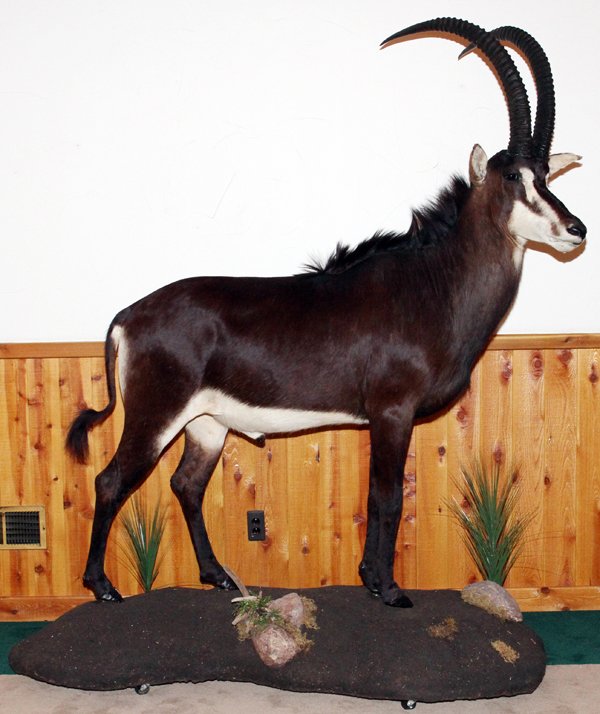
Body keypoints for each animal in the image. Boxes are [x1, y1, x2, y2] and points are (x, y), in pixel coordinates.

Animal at [67, 18, 585, 607]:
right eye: (512, 177)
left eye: (547, 175)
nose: (576, 230)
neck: (433, 282)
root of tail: (127, 317)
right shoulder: (392, 411)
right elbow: (388, 497)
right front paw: (388, 589)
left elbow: (378, 497)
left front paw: (371, 581)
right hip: (156, 415)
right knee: (111, 481)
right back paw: (103, 586)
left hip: (205, 424)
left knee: (187, 485)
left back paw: (219, 577)